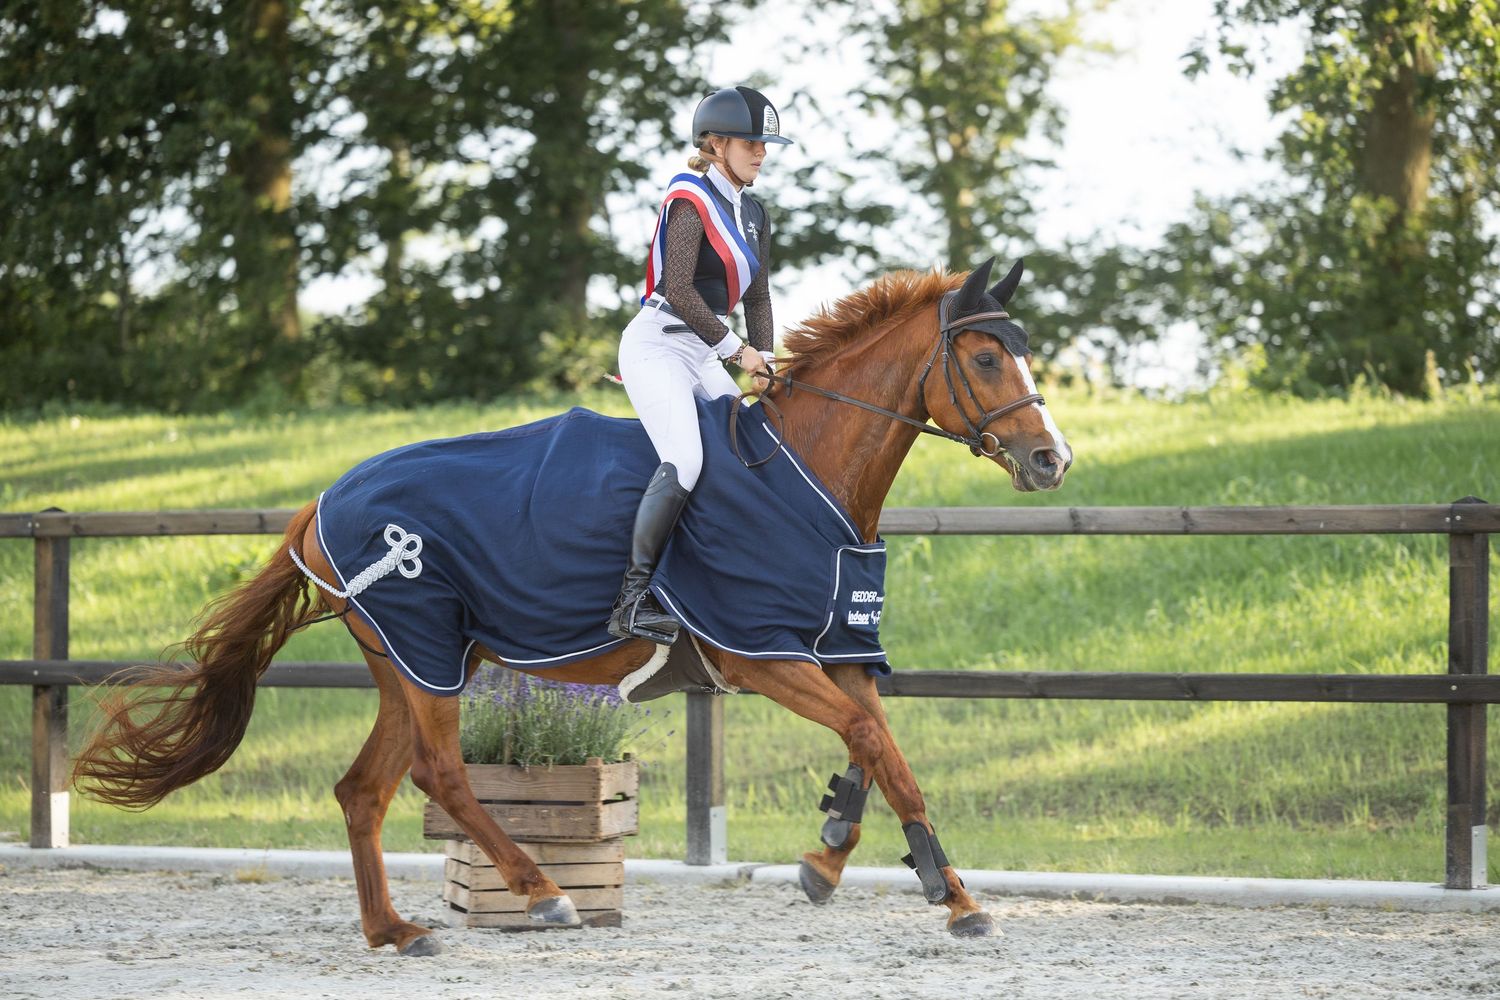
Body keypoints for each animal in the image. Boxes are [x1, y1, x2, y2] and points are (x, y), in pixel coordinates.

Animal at [71, 256, 1072, 953]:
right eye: (988, 354)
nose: (1051, 459)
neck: (806, 470)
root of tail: (324, 501)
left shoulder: (835, 649)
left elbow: (881, 747)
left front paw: (861, 864)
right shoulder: (759, 652)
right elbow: (874, 740)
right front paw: (934, 890)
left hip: (414, 657)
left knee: (365, 788)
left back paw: (394, 931)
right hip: (426, 653)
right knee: (439, 773)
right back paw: (542, 893)